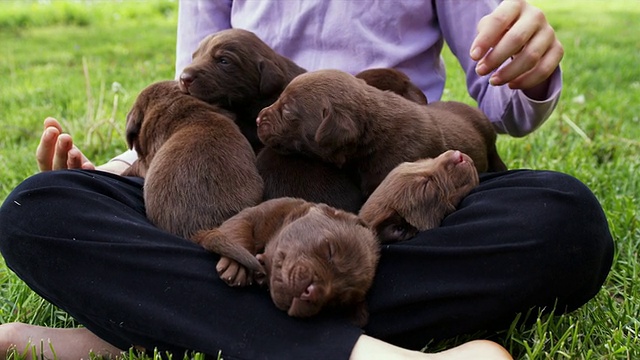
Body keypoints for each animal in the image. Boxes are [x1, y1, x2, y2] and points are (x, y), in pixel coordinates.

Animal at [192, 197, 378, 326]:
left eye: (337, 302)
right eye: (329, 250)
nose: (313, 292)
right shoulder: (256, 213)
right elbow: (239, 229)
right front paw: (236, 266)